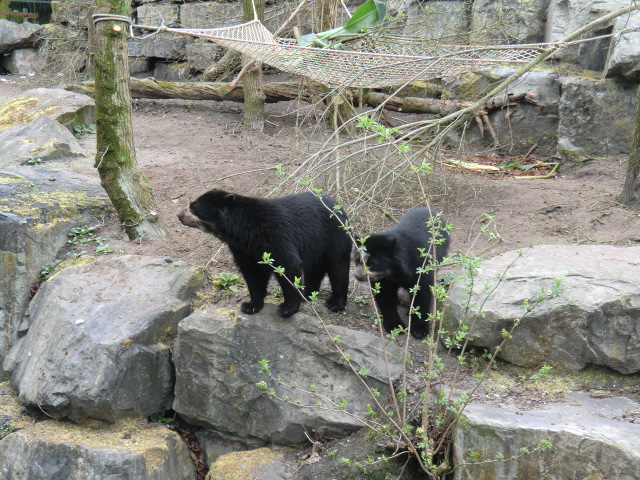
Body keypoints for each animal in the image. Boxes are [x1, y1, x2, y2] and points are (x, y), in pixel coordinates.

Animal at [178, 188, 351, 318]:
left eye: (193, 207)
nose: (179, 215)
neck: (245, 232)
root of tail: (339, 205)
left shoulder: (276, 237)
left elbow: (288, 266)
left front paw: (287, 308)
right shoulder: (243, 249)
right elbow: (253, 274)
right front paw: (251, 305)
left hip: (335, 236)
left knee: (338, 267)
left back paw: (335, 303)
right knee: (314, 270)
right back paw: (308, 294)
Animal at [353, 207, 450, 339]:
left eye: (372, 264)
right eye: (357, 260)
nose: (357, 276)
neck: (393, 272)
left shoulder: (420, 267)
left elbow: (423, 292)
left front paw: (419, 329)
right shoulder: (383, 279)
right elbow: (385, 296)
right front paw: (395, 325)